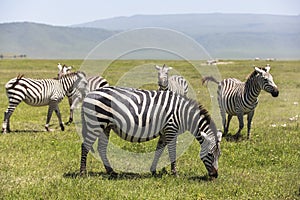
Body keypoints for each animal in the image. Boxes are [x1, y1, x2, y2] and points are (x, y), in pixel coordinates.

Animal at [80, 86, 223, 177]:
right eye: (210, 154)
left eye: (219, 155)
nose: (215, 175)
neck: (184, 114)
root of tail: (89, 94)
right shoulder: (171, 129)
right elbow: (172, 152)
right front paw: (175, 173)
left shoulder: (164, 132)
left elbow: (158, 151)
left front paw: (153, 170)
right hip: (96, 124)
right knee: (85, 146)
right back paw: (82, 173)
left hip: (106, 126)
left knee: (101, 148)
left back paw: (111, 172)